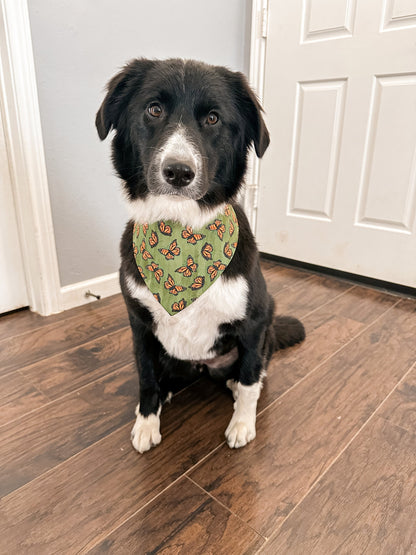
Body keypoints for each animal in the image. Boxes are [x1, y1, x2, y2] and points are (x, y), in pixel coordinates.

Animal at [97, 58, 306, 454]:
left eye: (213, 118)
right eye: (154, 109)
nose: (178, 172)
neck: (181, 233)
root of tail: (200, 366)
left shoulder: (254, 321)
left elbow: (250, 379)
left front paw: (242, 424)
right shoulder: (139, 325)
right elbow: (146, 377)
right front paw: (146, 421)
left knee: (250, 372)